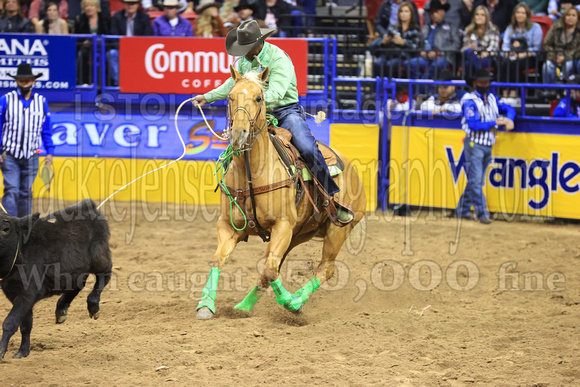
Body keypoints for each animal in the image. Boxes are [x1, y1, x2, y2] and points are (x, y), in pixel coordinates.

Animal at [197, 67, 364, 322]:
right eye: (230, 97)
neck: (253, 172)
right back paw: (244, 306)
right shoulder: (228, 226)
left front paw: (290, 303)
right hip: (300, 233)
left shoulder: (282, 226)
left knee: (325, 268)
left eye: (259, 98)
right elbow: (220, 259)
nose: (238, 135)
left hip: (336, 231)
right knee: (273, 266)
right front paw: (205, 305)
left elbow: (269, 269)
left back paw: (296, 300)